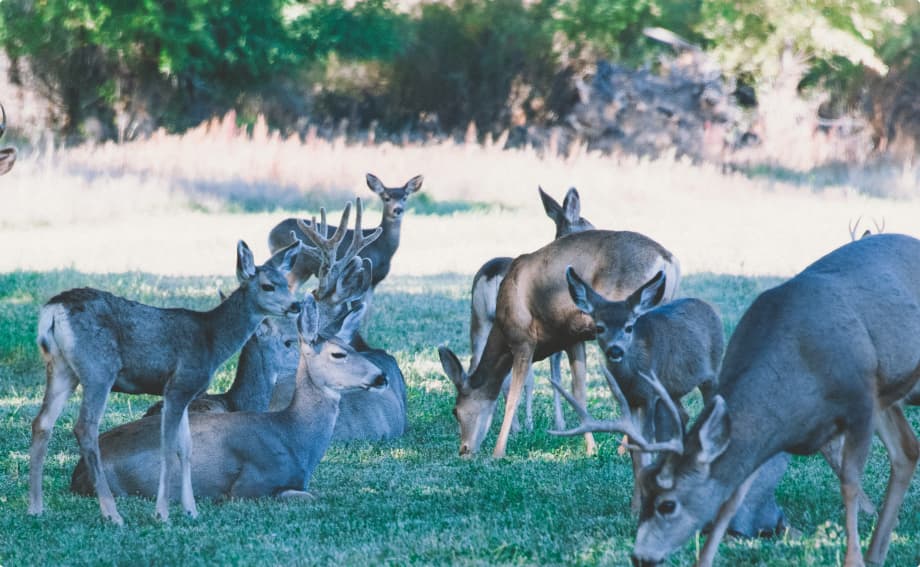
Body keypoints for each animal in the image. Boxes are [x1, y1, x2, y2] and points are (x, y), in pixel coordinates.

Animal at [30, 238, 304, 525]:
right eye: (268, 285)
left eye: (285, 283)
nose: (296, 306)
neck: (212, 340)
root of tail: (54, 309)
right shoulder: (180, 383)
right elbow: (169, 448)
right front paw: (162, 513)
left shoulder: (185, 394)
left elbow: (186, 448)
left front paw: (191, 510)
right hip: (98, 367)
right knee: (84, 427)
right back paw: (112, 514)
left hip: (61, 368)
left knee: (42, 422)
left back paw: (36, 508)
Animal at [70, 294, 388, 502]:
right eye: (338, 354)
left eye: (352, 346)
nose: (381, 376)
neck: (293, 434)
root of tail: (77, 473)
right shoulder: (250, 485)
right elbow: (311, 496)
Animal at [439, 228, 680, 459]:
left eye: (455, 410)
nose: (464, 449)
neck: (502, 331)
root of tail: (668, 260)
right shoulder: (573, 337)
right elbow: (578, 392)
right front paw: (591, 449)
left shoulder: (523, 338)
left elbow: (513, 396)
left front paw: (498, 452)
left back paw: (628, 447)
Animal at [468, 187, 594, 434]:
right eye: (588, 226)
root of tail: (493, 274)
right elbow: (554, 377)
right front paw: (558, 423)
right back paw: (516, 426)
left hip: (479, 319)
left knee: (476, 364)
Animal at [557, 234, 920, 567]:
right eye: (647, 496)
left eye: (667, 504)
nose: (640, 556)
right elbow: (732, 497)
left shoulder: (861, 404)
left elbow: (849, 482)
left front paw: (853, 557)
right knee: (906, 450)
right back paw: (877, 551)